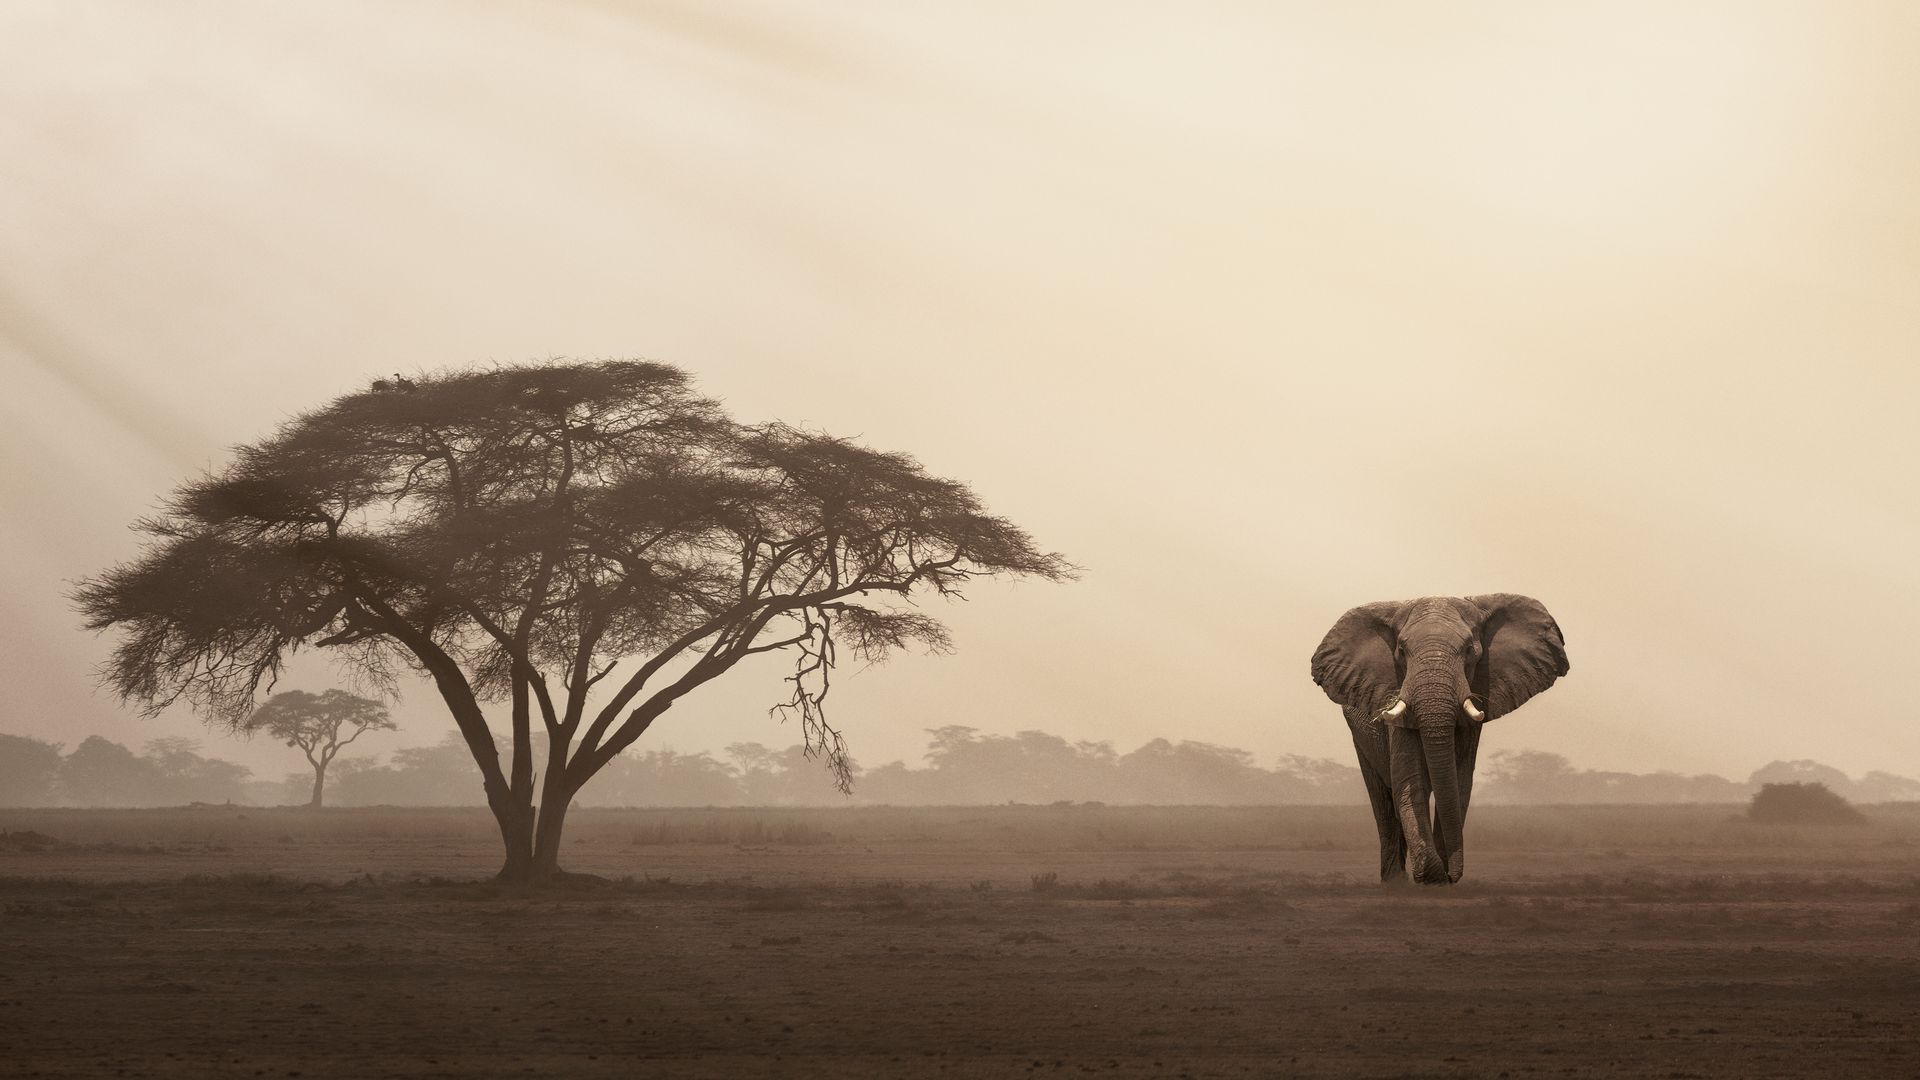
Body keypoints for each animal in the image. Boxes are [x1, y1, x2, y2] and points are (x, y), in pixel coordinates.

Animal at [1310, 595, 1567, 885]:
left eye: (1470, 651)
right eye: (1401, 651)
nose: (1450, 875)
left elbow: (1458, 782)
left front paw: (1440, 878)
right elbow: (1411, 782)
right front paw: (1431, 877)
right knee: (1383, 801)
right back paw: (1395, 883)